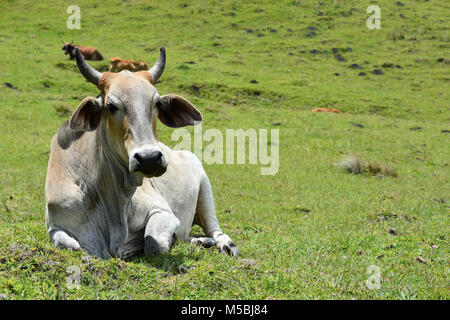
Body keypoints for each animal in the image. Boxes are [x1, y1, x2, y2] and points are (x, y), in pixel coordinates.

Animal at [46, 47, 241, 258]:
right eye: (110, 106)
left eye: (158, 103)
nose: (149, 158)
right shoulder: (55, 226)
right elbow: (73, 246)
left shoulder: (162, 212)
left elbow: (154, 245)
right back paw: (199, 241)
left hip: (205, 189)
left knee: (214, 229)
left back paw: (225, 244)